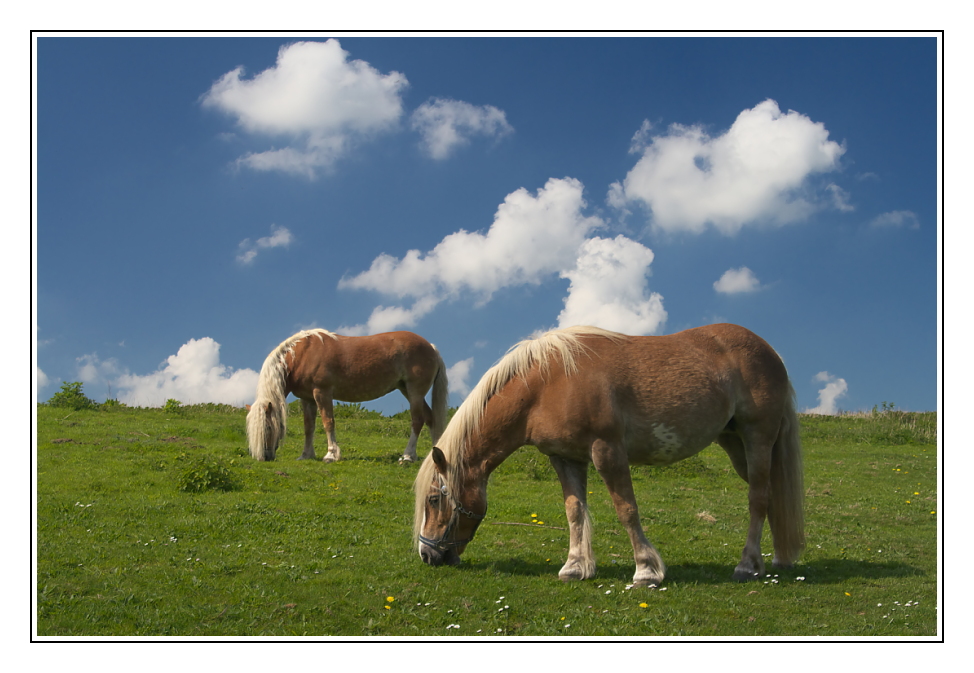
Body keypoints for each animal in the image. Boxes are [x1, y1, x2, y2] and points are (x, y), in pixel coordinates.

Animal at [250, 328, 452, 464]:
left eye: (268, 427)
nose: (264, 457)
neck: (302, 354)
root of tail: (431, 347)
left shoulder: (322, 392)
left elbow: (328, 422)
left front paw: (331, 455)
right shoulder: (307, 399)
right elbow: (309, 427)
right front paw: (306, 455)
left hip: (415, 391)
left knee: (417, 420)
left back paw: (408, 456)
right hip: (407, 390)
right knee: (430, 418)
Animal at [416, 324, 804, 584]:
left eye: (435, 499)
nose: (427, 554)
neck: (547, 383)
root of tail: (768, 351)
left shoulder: (607, 450)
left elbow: (626, 509)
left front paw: (646, 569)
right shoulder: (565, 458)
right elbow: (574, 511)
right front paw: (575, 567)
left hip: (757, 438)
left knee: (758, 498)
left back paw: (747, 564)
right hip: (735, 443)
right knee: (771, 497)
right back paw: (772, 560)